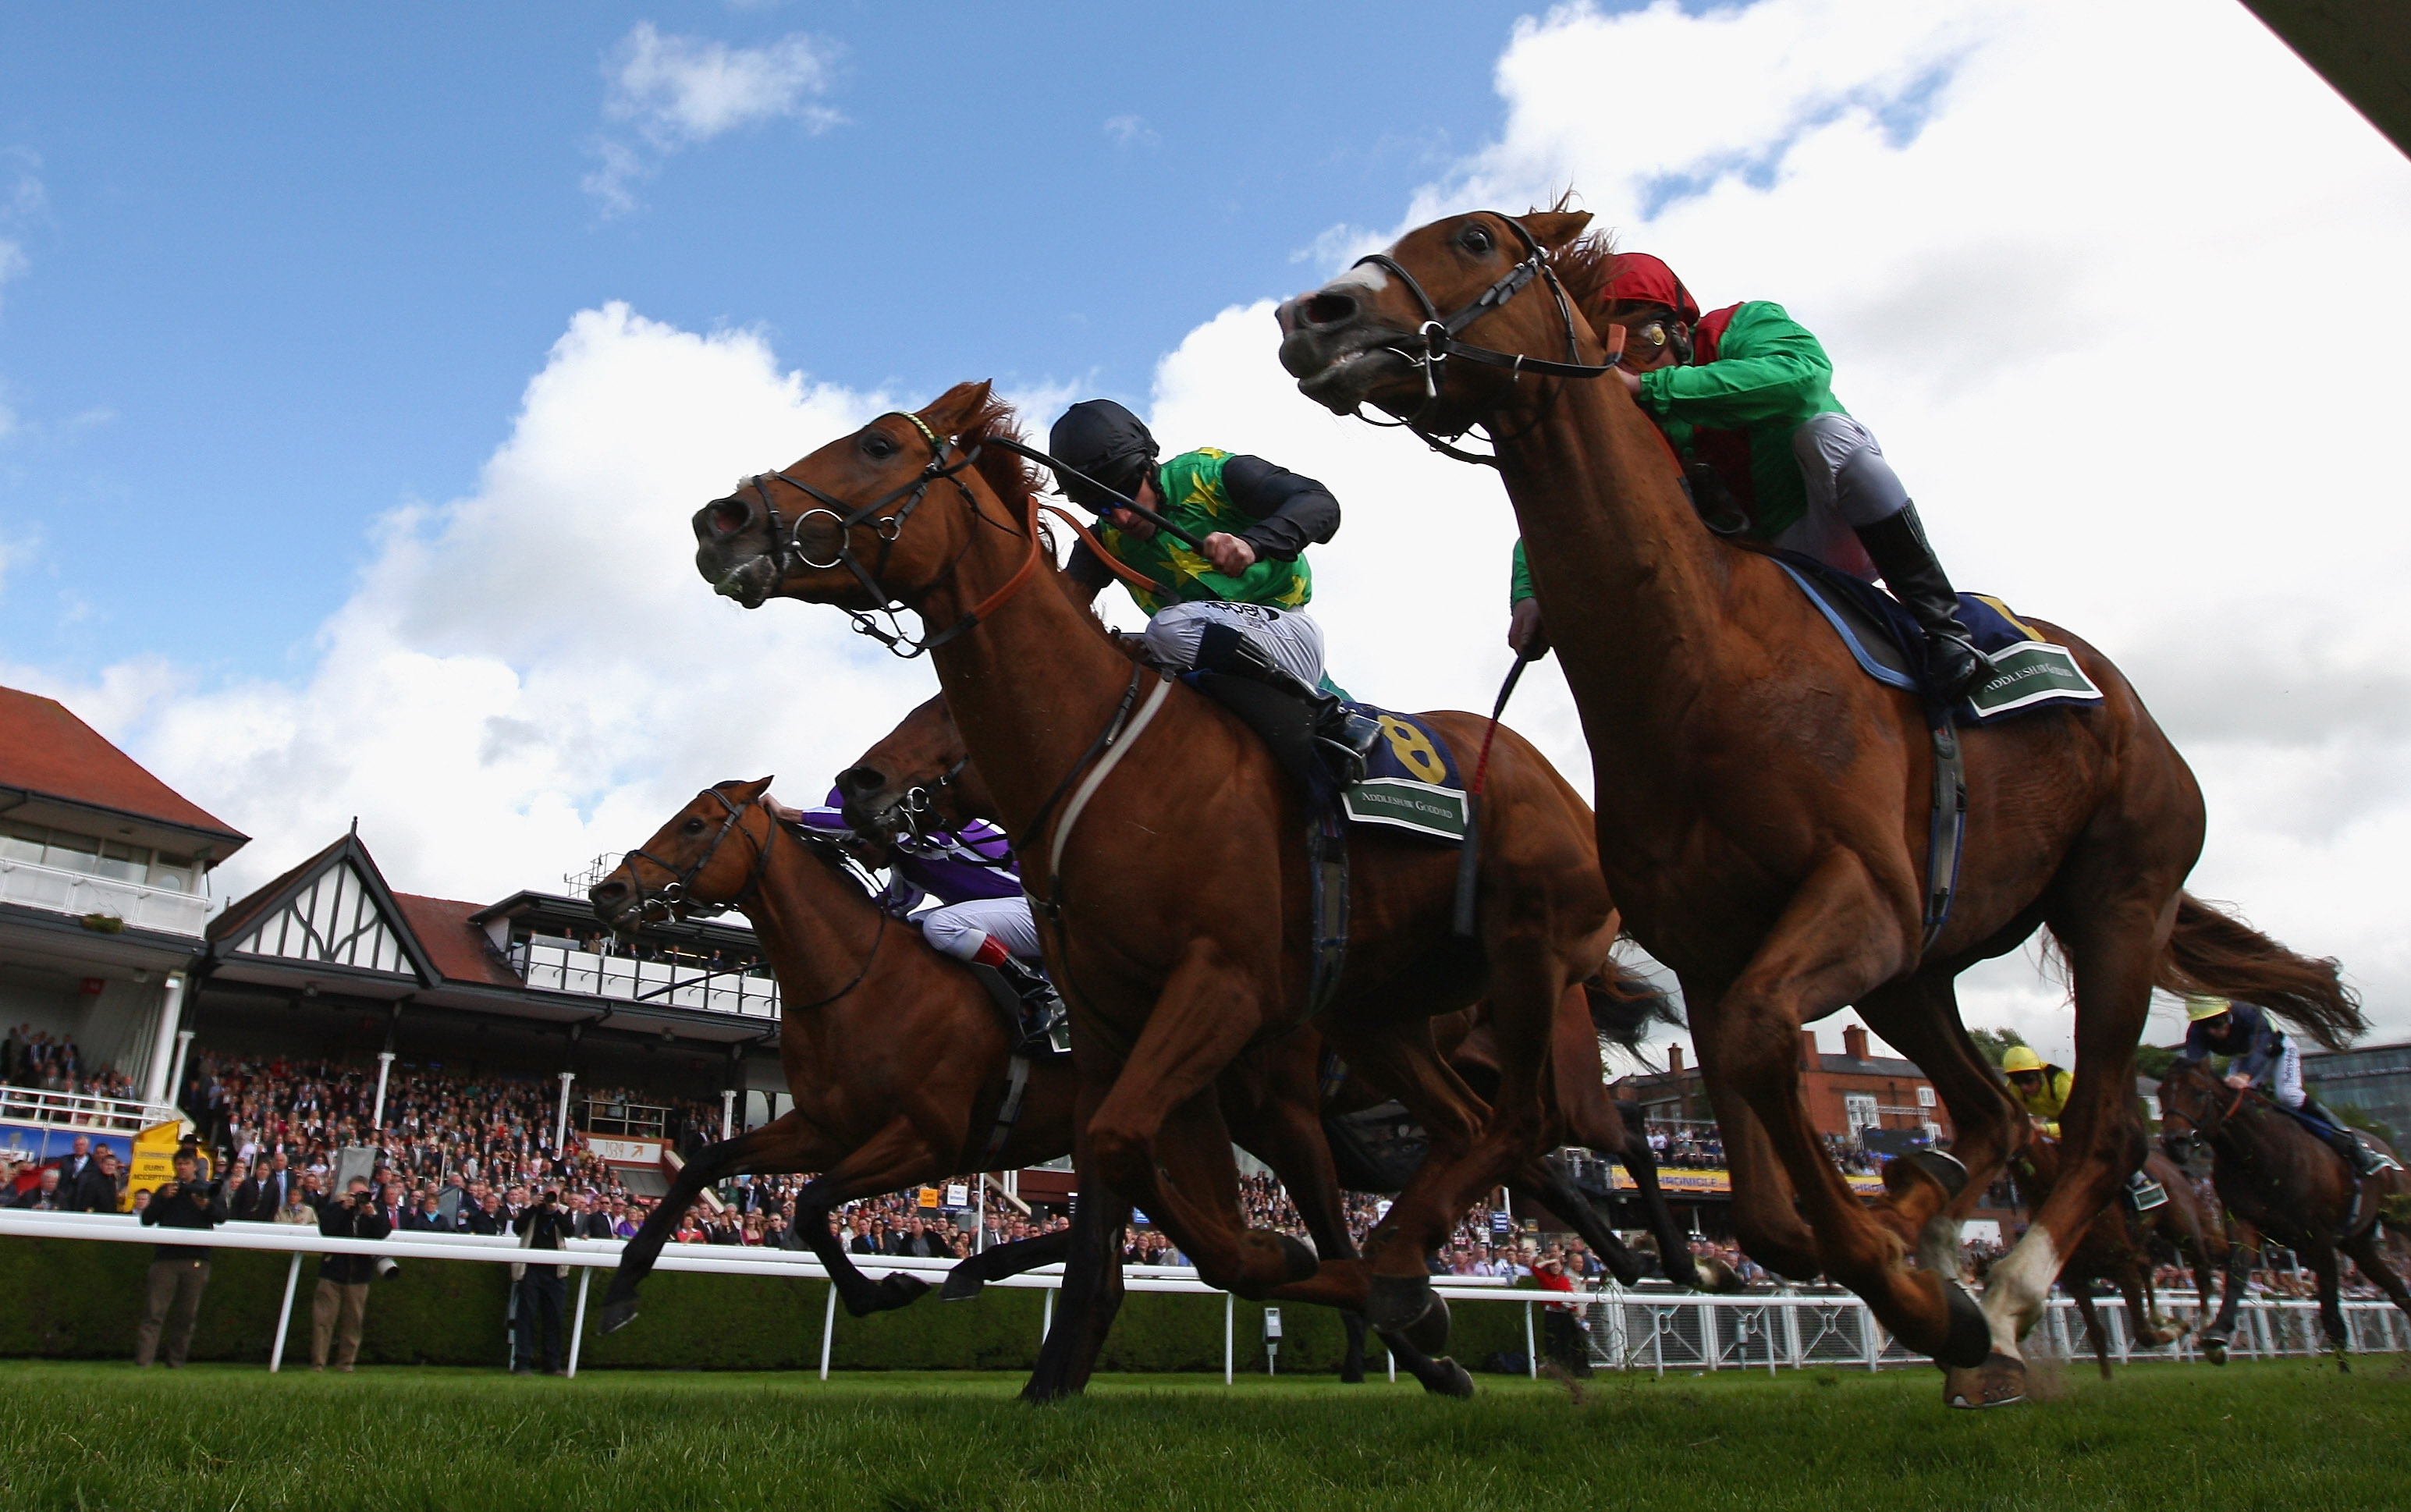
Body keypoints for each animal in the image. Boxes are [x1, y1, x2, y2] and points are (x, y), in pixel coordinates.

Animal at [699, 383, 1629, 1398]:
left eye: (876, 446)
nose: (722, 519)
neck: (1105, 756)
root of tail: (1549, 775)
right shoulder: (1114, 1023)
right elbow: (1114, 1180)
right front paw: (1056, 1373)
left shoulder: (1223, 989)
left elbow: (1139, 1168)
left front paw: (1301, 1268)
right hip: (1377, 1016)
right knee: (1467, 1126)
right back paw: (1419, 1272)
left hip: (1529, 951)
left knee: (1528, 1120)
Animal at [1273, 204, 2363, 1408]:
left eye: (1472, 239)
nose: (1310, 313)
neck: (1698, 662)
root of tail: (2123, 696)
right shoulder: (1715, 952)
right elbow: (1758, 1194)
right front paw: (1898, 1258)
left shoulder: (1859, 898)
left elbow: (1765, 1054)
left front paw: (1919, 1287)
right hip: (1915, 974)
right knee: (1989, 1110)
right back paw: (1952, 1252)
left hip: (2115, 903)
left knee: (2100, 1126)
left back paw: (2013, 1293)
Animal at [2150, 1061, 2411, 1369]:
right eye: (2162, 1092)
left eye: (2199, 1092)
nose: (2173, 1142)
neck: (2258, 1155)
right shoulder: (2243, 1222)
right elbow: (2236, 1275)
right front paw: (2218, 1333)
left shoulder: (2320, 1238)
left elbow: (2332, 1316)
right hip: (2357, 1243)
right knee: (2397, 1289)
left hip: (2398, 1214)